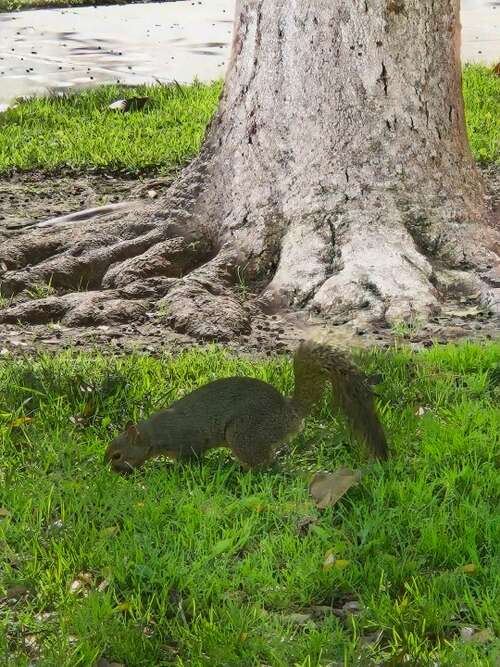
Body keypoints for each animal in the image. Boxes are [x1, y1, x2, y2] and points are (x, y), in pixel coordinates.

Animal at [103, 340, 388, 474]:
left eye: (117, 455)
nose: (111, 471)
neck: (155, 433)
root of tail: (288, 414)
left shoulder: (187, 441)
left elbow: (189, 460)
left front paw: (172, 469)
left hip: (243, 434)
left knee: (265, 463)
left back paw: (241, 470)